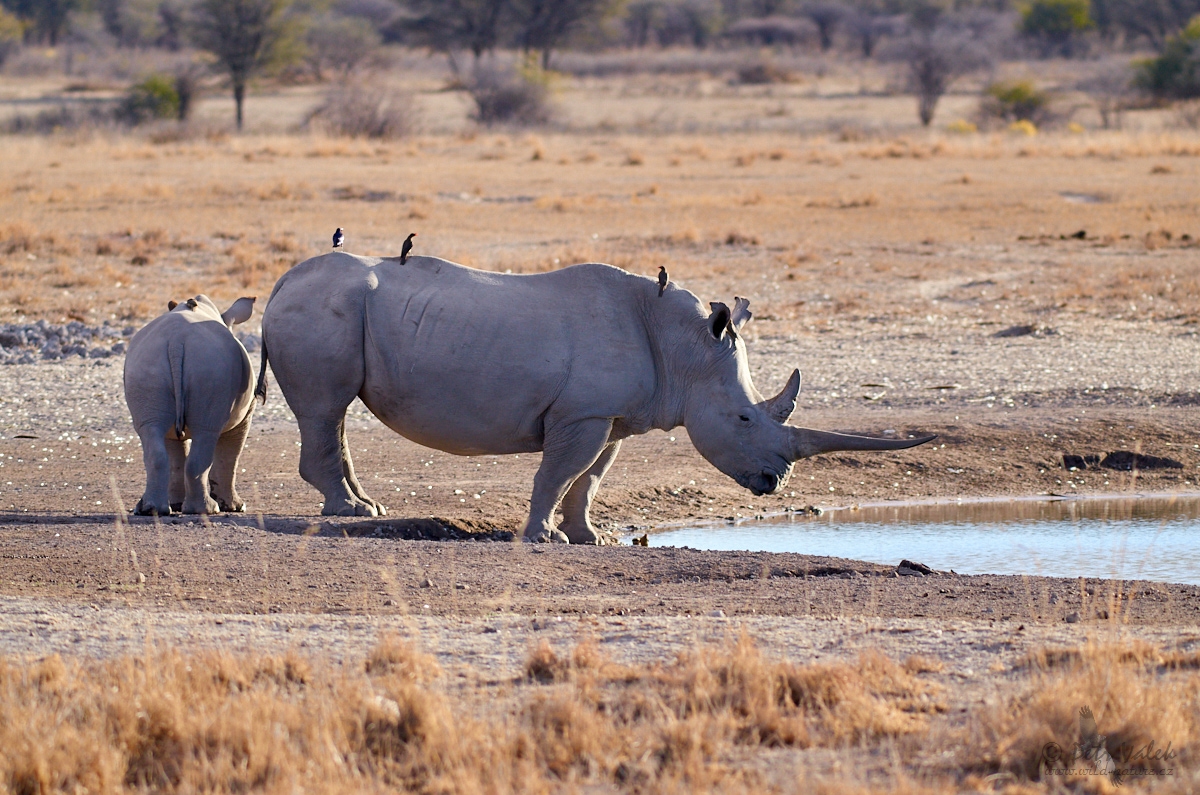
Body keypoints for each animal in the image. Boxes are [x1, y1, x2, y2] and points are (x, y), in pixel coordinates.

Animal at [125, 297, 256, 516]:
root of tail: (176, 342)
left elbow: (176, 457)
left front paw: (176, 504)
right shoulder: (244, 418)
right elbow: (230, 458)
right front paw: (235, 507)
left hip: (147, 364)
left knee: (151, 430)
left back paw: (150, 510)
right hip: (209, 366)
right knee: (206, 433)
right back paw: (205, 510)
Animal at [258, 255, 936, 542]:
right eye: (744, 418)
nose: (777, 482)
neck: (685, 351)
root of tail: (283, 279)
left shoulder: (610, 416)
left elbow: (590, 478)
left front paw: (590, 537)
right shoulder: (580, 413)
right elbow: (559, 472)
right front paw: (544, 539)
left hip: (332, 309)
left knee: (334, 414)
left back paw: (363, 507)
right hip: (321, 310)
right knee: (325, 408)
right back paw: (350, 512)